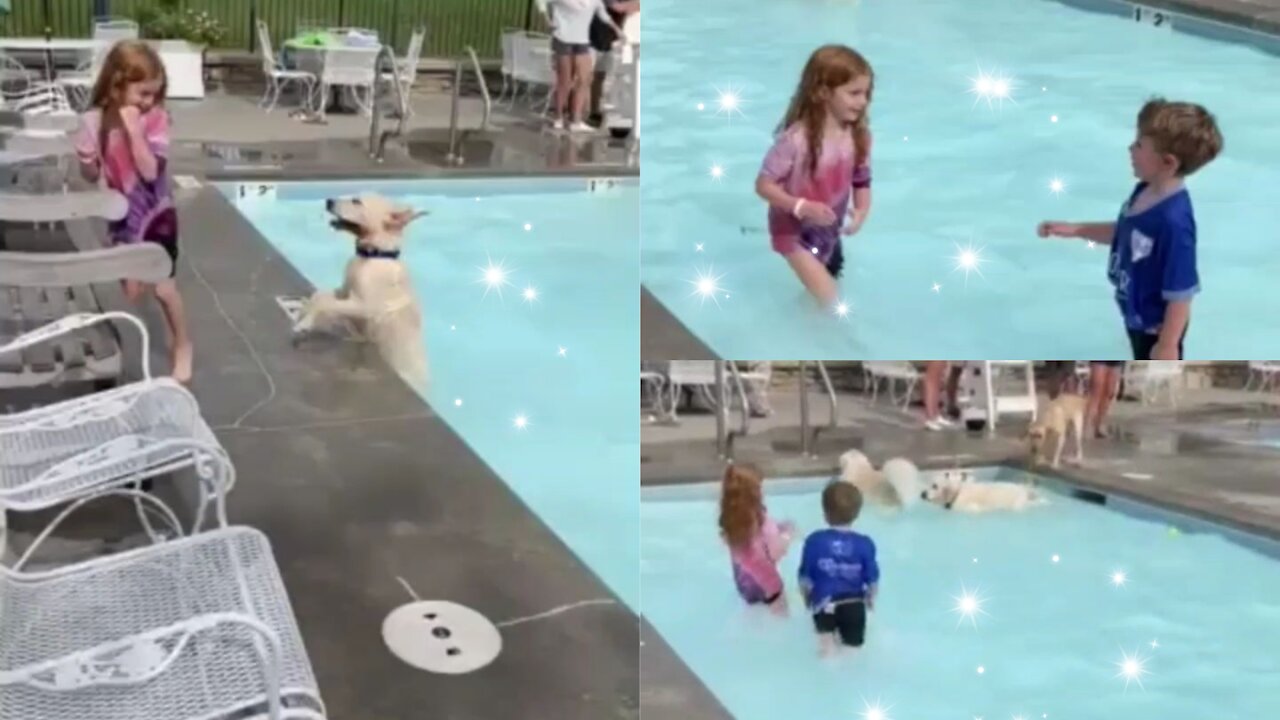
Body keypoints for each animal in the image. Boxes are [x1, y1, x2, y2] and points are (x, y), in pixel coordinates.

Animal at [290, 192, 430, 386]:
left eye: (356, 201)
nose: (328, 201)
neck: (374, 255)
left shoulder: (365, 307)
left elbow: (326, 304)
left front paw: (304, 323)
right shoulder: (344, 292)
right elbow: (320, 296)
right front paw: (304, 311)